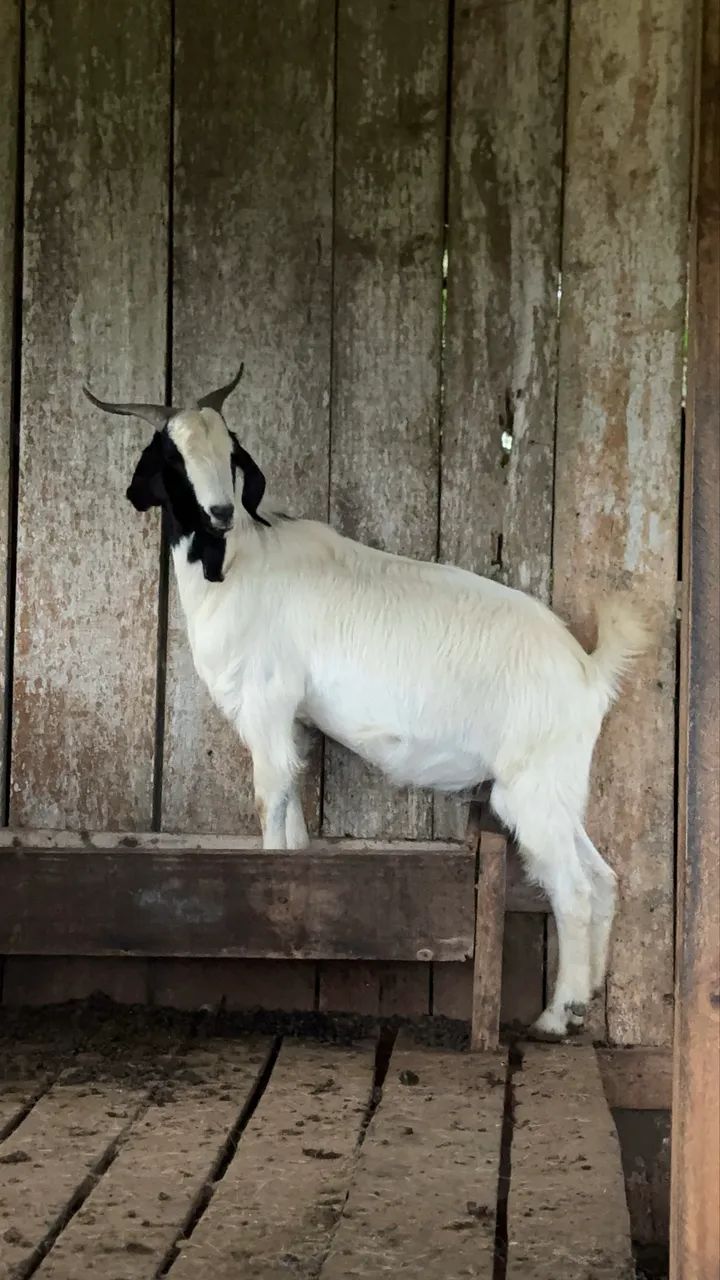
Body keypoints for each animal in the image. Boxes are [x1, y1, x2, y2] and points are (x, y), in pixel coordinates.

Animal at [84, 368, 650, 1039]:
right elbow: (295, 808)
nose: (219, 511)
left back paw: (557, 1017)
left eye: (230, 451)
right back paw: (585, 1003)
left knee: (574, 891)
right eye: (172, 456)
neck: (239, 563)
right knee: (603, 878)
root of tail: (588, 670)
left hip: (529, 789)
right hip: (556, 783)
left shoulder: (266, 700)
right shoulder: (293, 718)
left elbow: (270, 799)